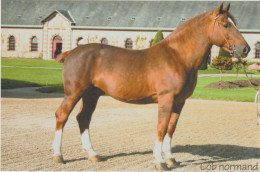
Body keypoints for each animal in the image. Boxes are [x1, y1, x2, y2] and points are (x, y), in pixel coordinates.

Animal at [51, 3, 250, 171]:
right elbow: (161, 128)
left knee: (83, 118)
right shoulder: (166, 99)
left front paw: (171, 159)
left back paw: (93, 155)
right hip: (74, 93)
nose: (245, 49)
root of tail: (71, 52)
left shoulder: (179, 102)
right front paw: (160, 161)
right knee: (62, 115)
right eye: (225, 25)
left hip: (91, 95)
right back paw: (58, 156)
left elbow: (171, 128)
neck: (178, 56)